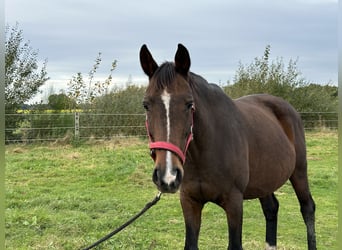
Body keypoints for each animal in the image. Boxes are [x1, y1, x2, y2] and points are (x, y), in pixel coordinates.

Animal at [138, 44, 316, 249]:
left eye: (189, 104)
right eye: (146, 105)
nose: (168, 176)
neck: (205, 153)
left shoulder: (234, 203)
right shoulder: (190, 201)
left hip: (299, 171)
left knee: (307, 208)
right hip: (265, 179)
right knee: (271, 209)